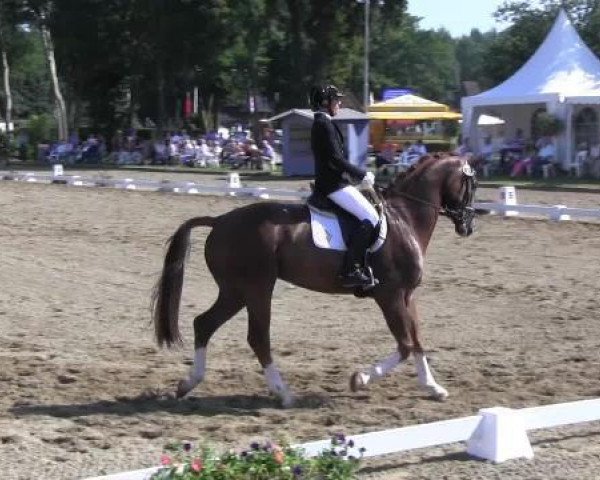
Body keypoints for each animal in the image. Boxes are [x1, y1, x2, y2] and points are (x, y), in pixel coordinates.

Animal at [152, 154, 476, 404]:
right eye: (469, 184)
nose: (468, 226)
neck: (404, 218)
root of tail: (219, 221)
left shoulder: (407, 295)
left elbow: (417, 340)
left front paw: (433, 387)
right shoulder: (390, 296)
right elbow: (405, 344)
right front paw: (360, 379)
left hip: (234, 292)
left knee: (204, 324)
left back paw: (187, 384)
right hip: (255, 289)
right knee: (257, 337)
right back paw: (284, 394)